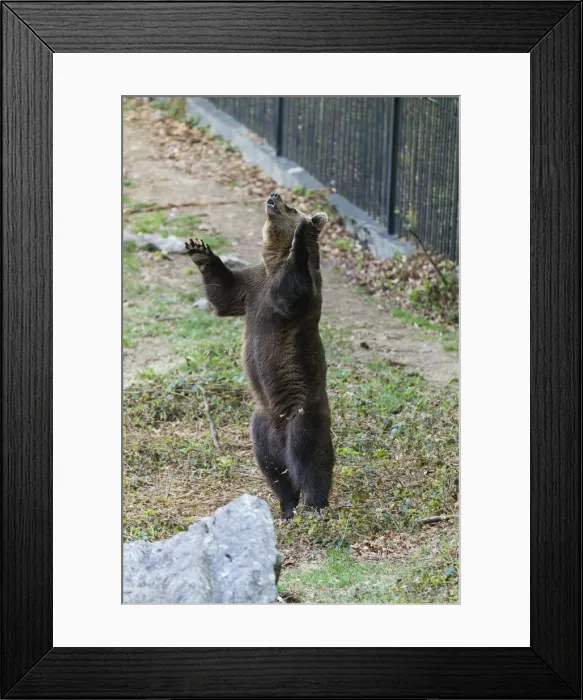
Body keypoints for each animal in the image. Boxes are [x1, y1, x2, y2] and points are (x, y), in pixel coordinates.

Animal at [185, 192, 334, 519]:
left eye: (292, 206)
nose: (274, 196)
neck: (272, 263)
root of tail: (279, 430)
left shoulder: (294, 296)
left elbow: (292, 293)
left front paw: (302, 237)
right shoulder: (252, 287)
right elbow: (224, 295)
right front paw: (199, 249)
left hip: (302, 411)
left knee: (309, 458)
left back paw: (313, 503)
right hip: (261, 426)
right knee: (273, 469)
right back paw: (287, 507)